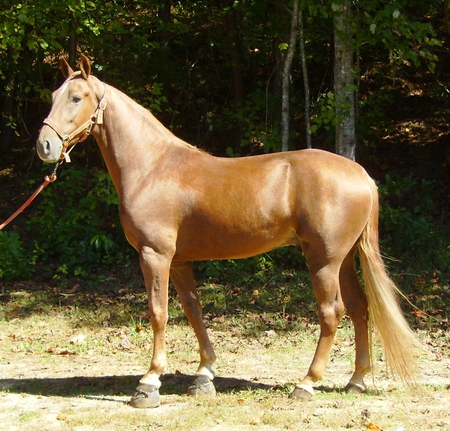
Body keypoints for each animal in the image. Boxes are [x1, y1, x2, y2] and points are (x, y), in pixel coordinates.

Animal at [36, 54, 422, 408]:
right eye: (54, 94)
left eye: (76, 97)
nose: (45, 146)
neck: (152, 167)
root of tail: (362, 175)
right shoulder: (179, 262)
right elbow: (194, 311)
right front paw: (204, 374)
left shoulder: (154, 256)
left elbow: (158, 313)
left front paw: (149, 383)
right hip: (343, 260)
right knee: (359, 308)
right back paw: (356, 380)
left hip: (324, 261)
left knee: (332, 313)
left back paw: (307, 383)